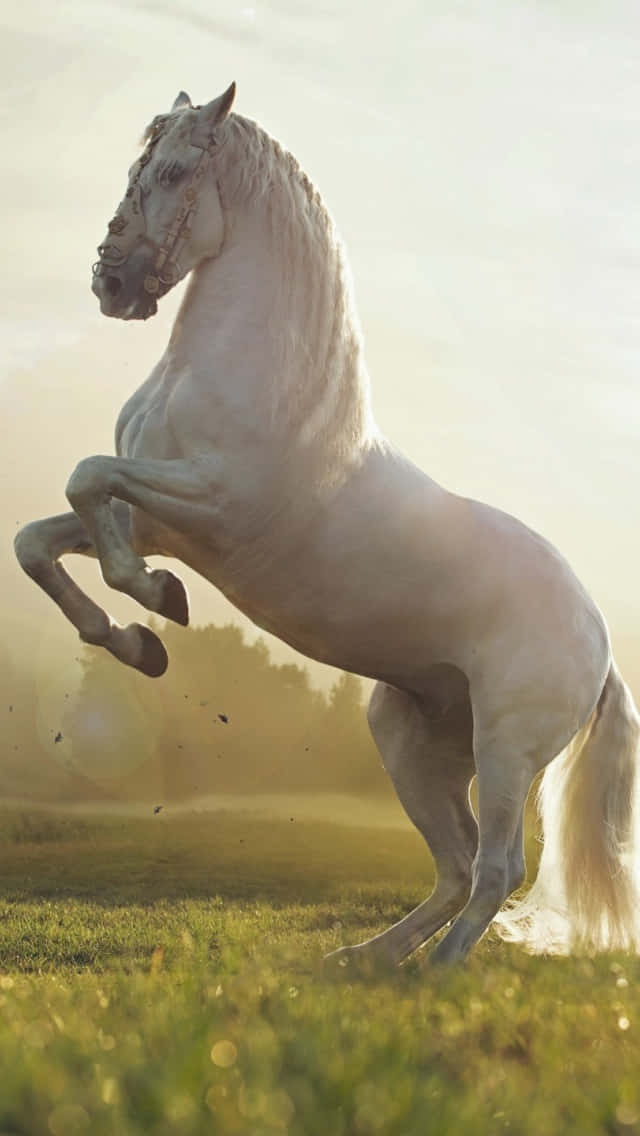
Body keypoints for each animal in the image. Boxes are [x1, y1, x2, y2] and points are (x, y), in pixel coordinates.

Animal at [15, 84, 640, 965]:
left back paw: (433, 976)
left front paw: (156, 604)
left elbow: (85, 482)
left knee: (497, 868)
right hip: (412, 739)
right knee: (454, 867)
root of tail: (600, 641)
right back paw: (363, 961)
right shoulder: (153, 520)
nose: (111, 283)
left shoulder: (209, 504)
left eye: (171, 172)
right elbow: (41, 538)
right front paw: (137, 642)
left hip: (507, 748)